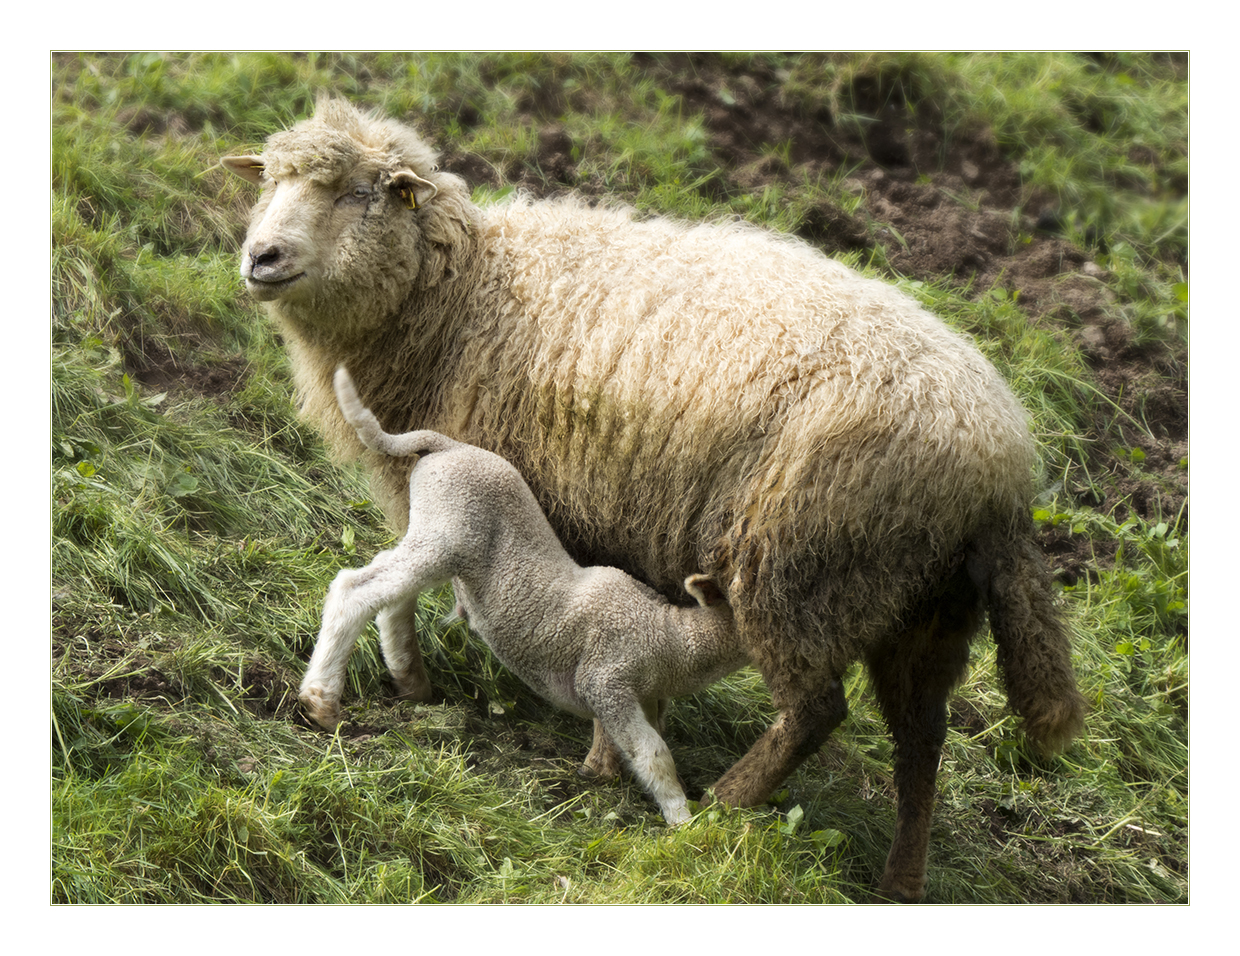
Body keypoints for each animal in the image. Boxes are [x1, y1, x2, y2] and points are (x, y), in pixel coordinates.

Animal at [300, 367, 744, 823]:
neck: (669, 636)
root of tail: (445, 444)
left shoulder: (644, 695)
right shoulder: (606, 680)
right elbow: (654, 753)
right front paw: (682, 817)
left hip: (435, 538)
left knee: (390, 592)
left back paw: (410, 681)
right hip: (447, 534)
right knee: (354, 589)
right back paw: (321, 699)